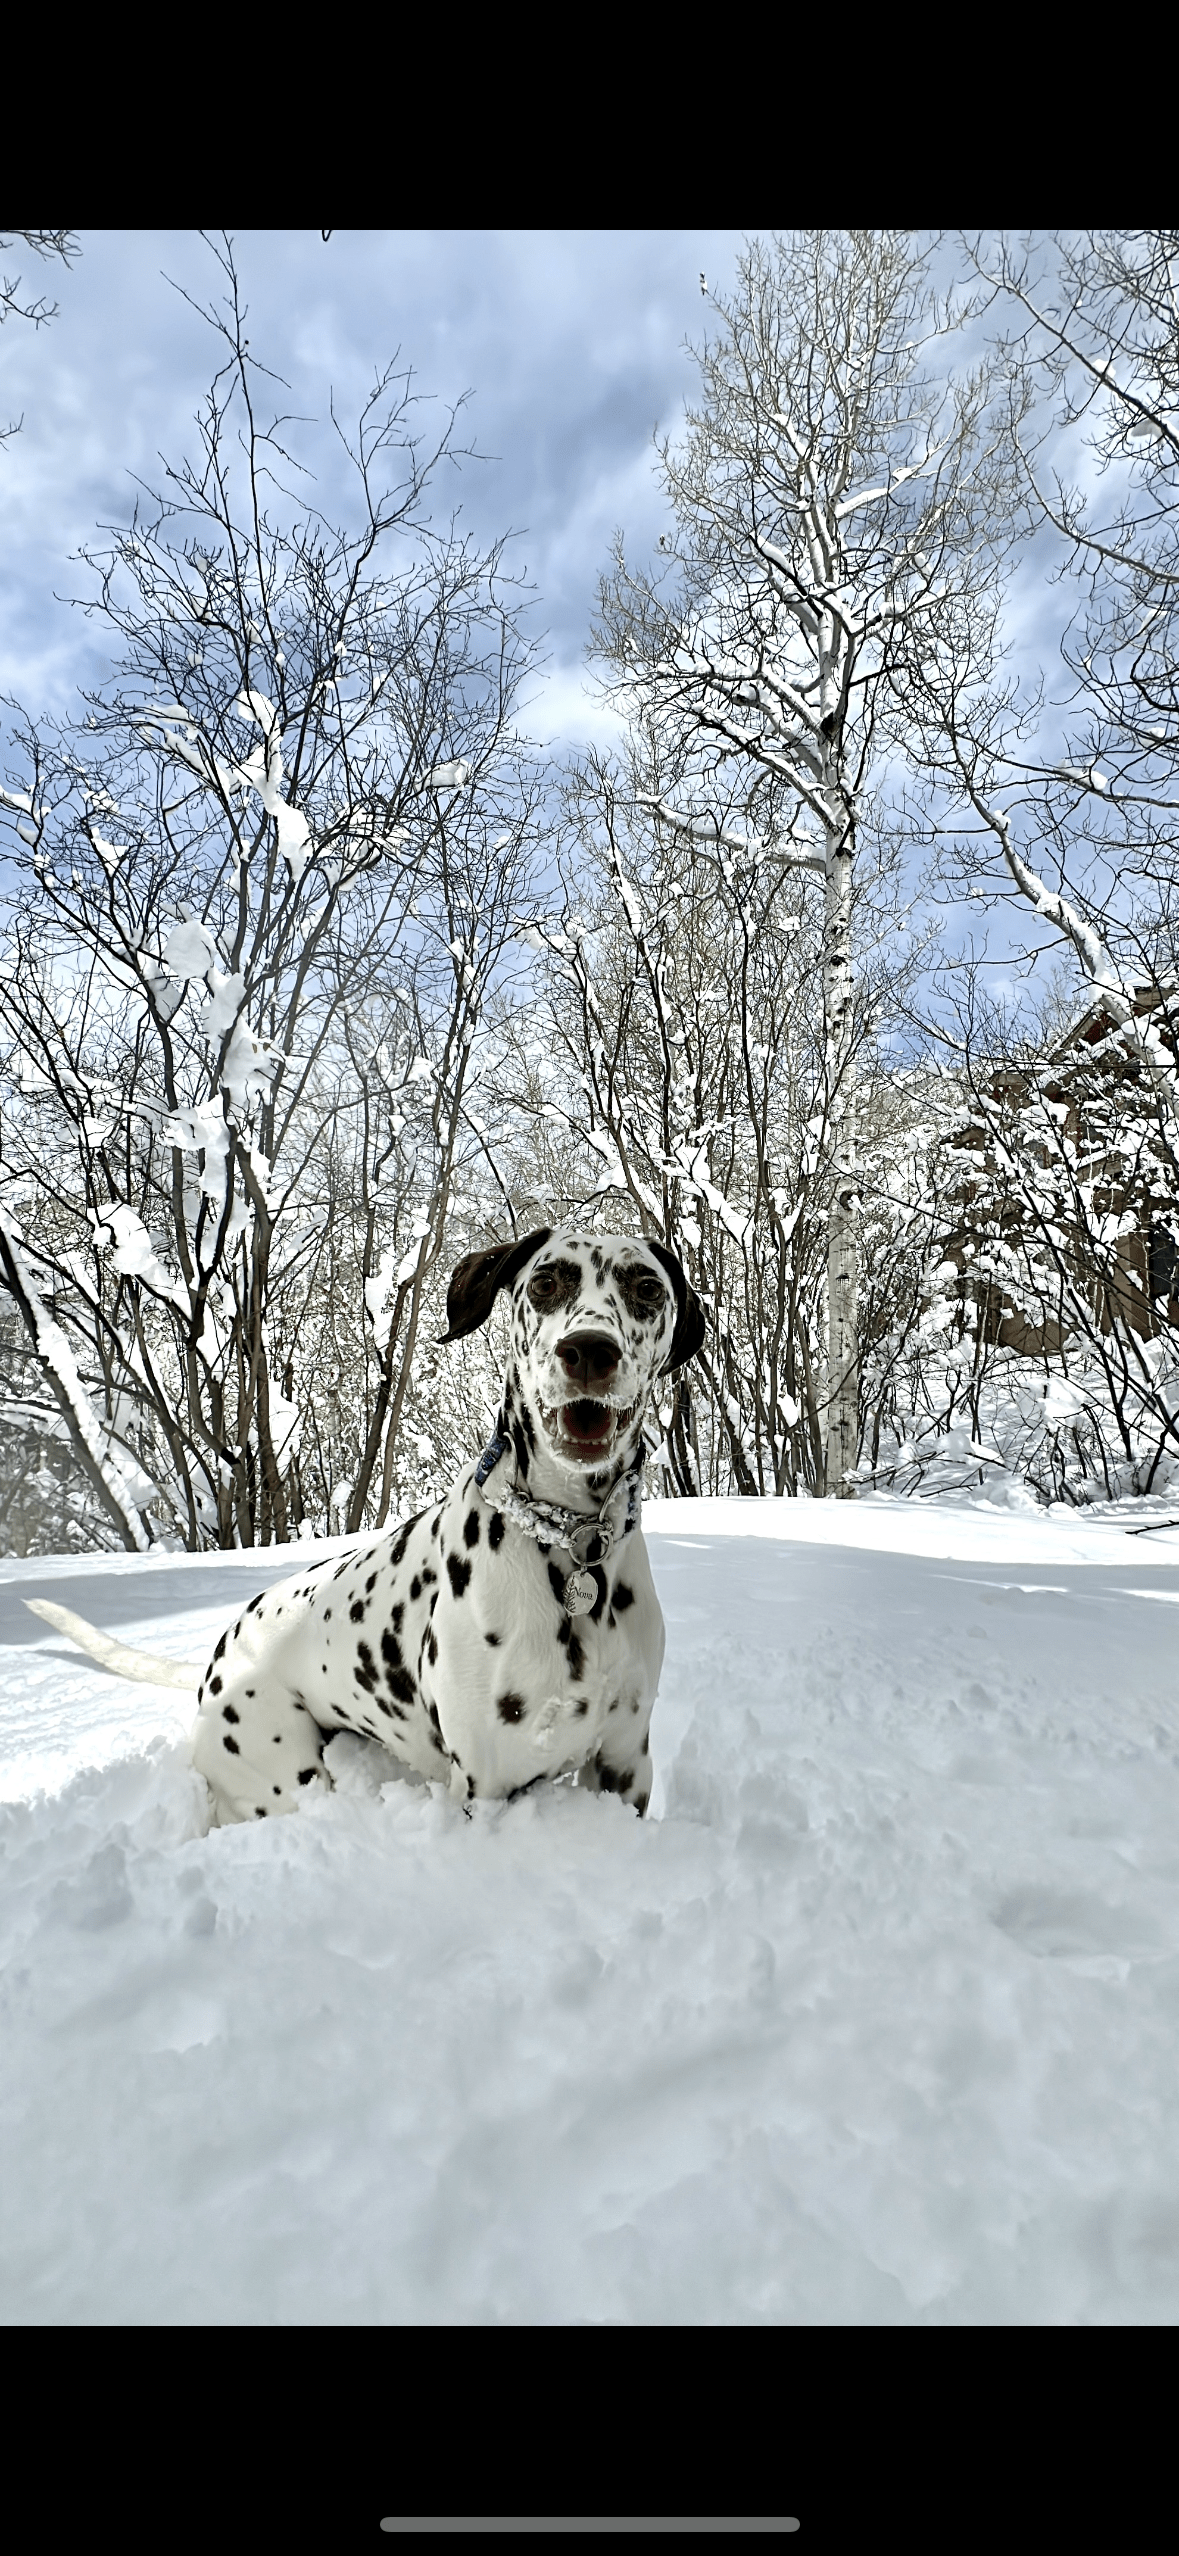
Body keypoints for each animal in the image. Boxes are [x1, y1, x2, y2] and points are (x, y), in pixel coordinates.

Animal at [185, 1231, 700, 1819]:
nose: (590, 1349)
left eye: (647, 1288)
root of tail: (224, 1648)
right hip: (277, 1775)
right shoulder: (487, 1784)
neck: (568, 1535)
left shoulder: (625, 1762)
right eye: (546, 1282)